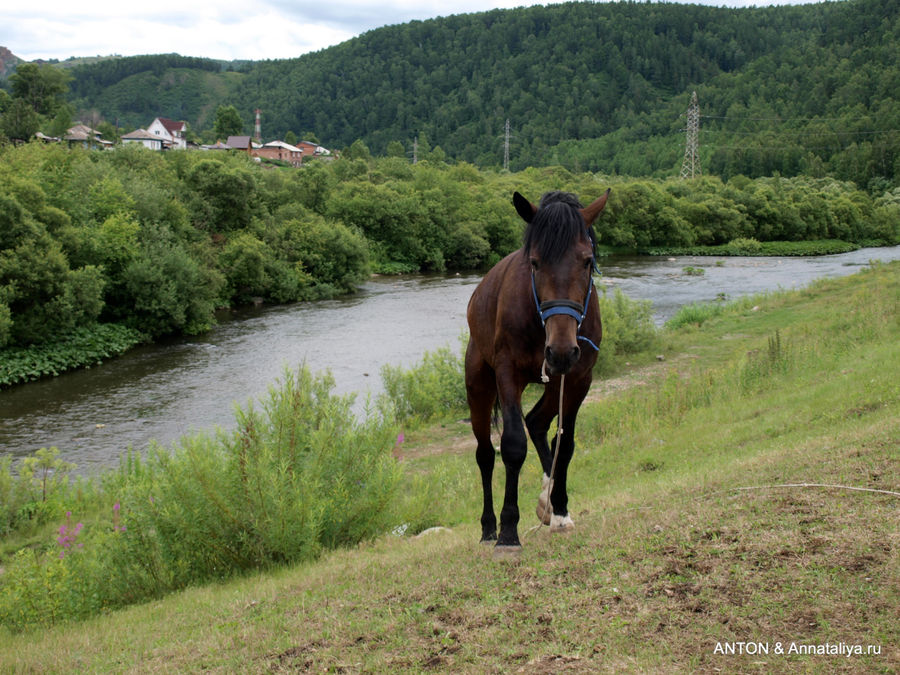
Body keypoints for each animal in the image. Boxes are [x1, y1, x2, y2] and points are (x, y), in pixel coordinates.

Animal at [468, 189, 608, 556]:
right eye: (534, 262)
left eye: (587, 261)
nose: (560, 350)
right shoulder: (508, 373)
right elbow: (513, 445)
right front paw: (508, 532)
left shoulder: (578, 378)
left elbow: (566, 442)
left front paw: (559, 510)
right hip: (479, 384)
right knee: (485, 454)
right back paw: (488, 527)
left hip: (554, 379)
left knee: (537, 422)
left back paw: (548, 500)